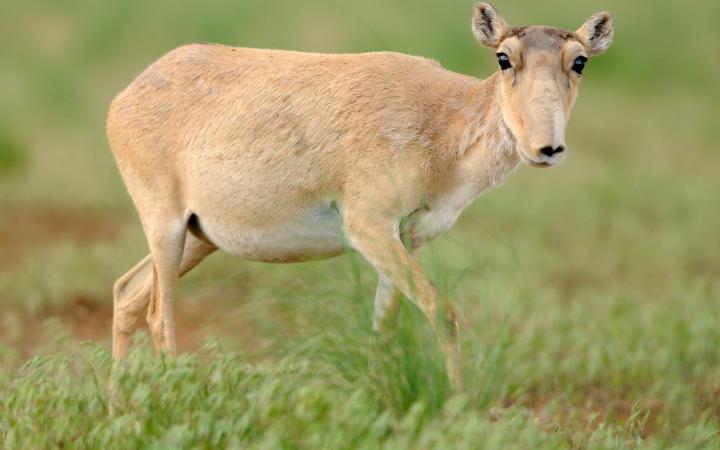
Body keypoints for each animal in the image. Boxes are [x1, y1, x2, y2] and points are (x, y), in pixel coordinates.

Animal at [107, 2, 612, 390]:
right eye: (504, 58)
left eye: (579, 61)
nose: (546, 148)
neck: (441, 121)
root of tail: (124, 98)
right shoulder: (369, 227)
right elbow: (442, 311)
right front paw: (459, 405)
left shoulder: (407, 239)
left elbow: (384, 325)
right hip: (166, 225)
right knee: (158, 314)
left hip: (201, 238)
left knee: (127, 291)